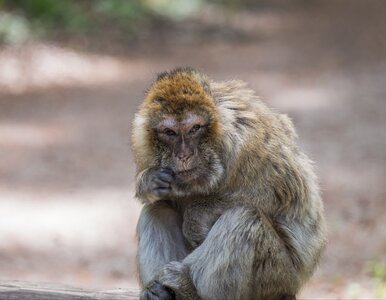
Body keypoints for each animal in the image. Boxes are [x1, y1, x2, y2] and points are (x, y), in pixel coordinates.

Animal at [131, 68, 328, 300]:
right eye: (169, 132)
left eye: (194, 128)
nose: (184, 155)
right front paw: (149, 181)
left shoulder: (249, 141)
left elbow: (279, 194)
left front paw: (196, 219)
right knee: (158, 210)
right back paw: (159, 291)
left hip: (278, 277)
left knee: (243, 218)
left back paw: (189, 290)